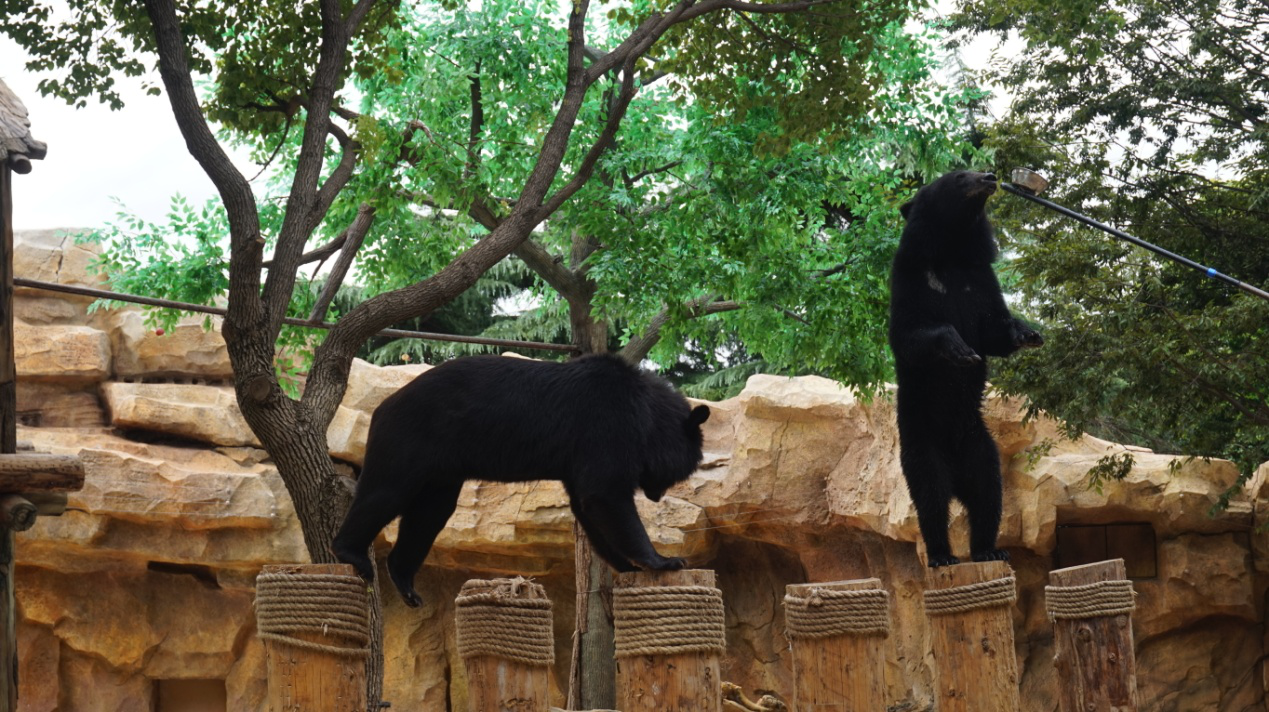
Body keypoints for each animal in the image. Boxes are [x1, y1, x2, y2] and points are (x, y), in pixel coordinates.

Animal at [331, 353, 710, 606]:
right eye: (676, 473)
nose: (657, 496)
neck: (645, 415)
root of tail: (382, 407)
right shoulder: (604, 427)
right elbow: (604, 494)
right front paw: (664, 560)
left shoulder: (578, 456)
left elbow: (588, 506)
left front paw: (626, 566)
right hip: (410, 438)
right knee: (386, 492)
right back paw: (352, 554)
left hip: (441, 470)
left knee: (429, 514)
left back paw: (406, 583)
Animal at [888, 170, 1043, 568]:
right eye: (958, 177)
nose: (989, 176)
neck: (953, 249)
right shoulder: (911, 279)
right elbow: (910, 334)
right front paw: (959, 349)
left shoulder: (981, 278)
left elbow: (992, 328)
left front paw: (1028, 333)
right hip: (922, 442)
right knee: (931, 497)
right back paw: (942, 554)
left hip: (981, 447)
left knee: (988, 494)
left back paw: (988, 548)